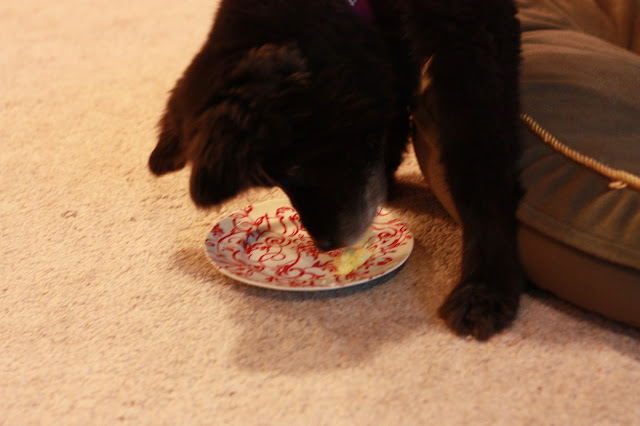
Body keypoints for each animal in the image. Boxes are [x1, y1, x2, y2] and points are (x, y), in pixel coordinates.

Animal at [150, 0, 524, 340]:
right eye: (269, 180)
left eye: (294, 168)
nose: (326, 245)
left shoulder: (470, 32)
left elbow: (480, 163)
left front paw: (484, 287)